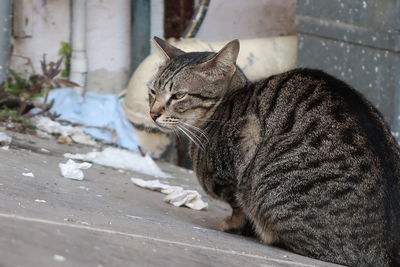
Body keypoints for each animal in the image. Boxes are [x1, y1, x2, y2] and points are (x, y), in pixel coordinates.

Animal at [147, 37, 400, 267]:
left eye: (179, 95)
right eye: (152, 91)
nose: (153, 113)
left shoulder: (242, 152)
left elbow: (237, 206)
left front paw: (231, 224)